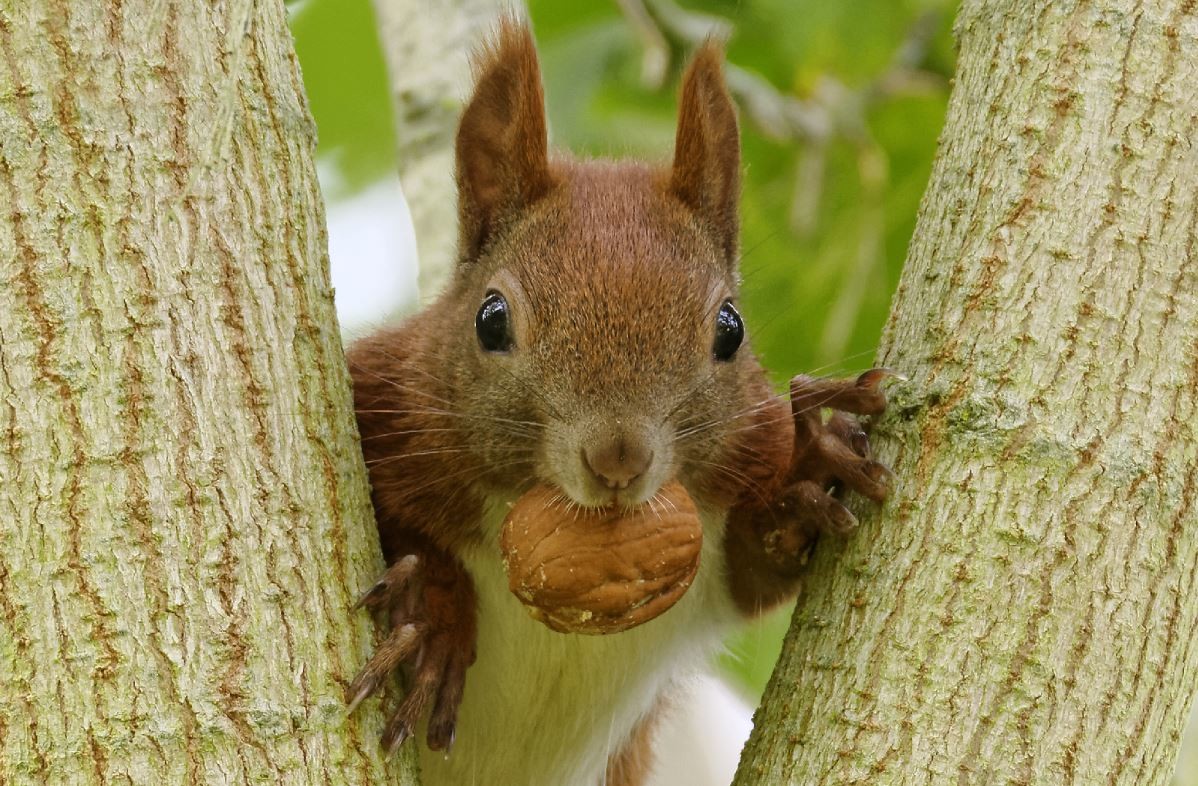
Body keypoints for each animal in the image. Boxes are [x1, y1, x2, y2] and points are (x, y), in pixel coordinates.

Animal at [347, 18, 891, 786]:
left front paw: (810, 475)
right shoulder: (384, 402)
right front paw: (433, 616)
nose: (618, 459)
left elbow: (758, 567)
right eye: (490, 320)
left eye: (731, 328)